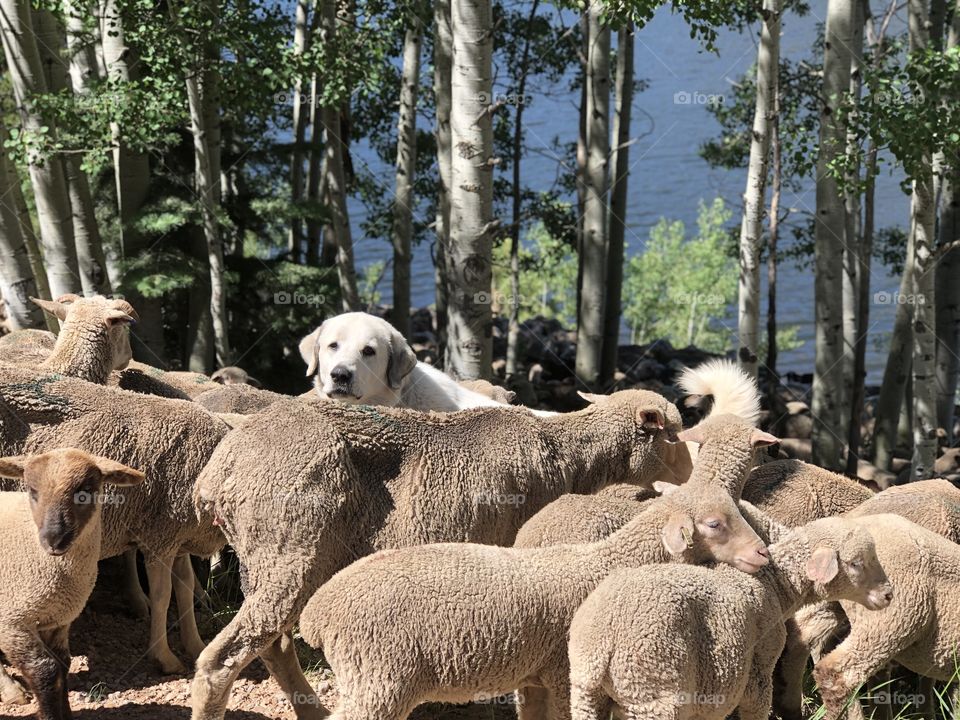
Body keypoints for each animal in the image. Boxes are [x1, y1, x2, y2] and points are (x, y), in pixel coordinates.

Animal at [0, 450, 145, 716]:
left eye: (85, 490)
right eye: (32, 491)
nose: (53, 539)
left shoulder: (58, 620)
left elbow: (62, 664)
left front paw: (65, 713)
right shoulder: (13, 622)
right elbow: (45, 670)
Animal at [188, 388, 684, 720]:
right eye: (675, 435)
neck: (566, 456)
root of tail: (219, 472)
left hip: (265, 559)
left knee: (274, 645)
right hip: (291, 550)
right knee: (225, 658)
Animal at [296, 478, 768, 720]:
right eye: (714, 524)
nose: (762, 553)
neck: (605, 563)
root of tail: (317, 612)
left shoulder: (535, 676)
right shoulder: (563, 674)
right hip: (379, 679)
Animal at [568, 516, 892, 720]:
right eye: (856, 563)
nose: (889, 594)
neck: (775, 586)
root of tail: (603, 643)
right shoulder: (759, 669)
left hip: (586, 695)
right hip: (653, 691)